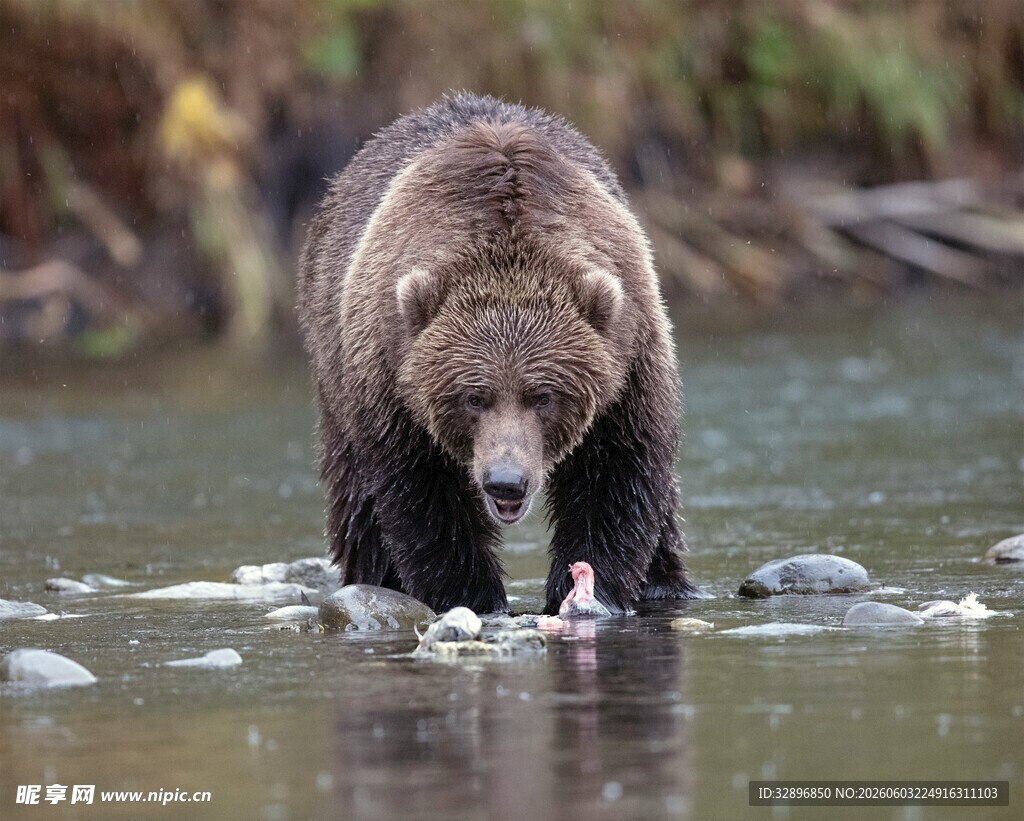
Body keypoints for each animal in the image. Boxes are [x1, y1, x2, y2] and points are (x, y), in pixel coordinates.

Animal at [298, 92, 699, 615]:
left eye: (544, 395)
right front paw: (474, 595)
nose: (506, 481)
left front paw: (593, 590)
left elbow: (616, 477)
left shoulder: (628, 364)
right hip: (335, 366)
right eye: (474, 397)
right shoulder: (391, 378)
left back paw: (665, 582)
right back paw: (375, 576)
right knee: (357, 498)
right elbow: (423, 497)